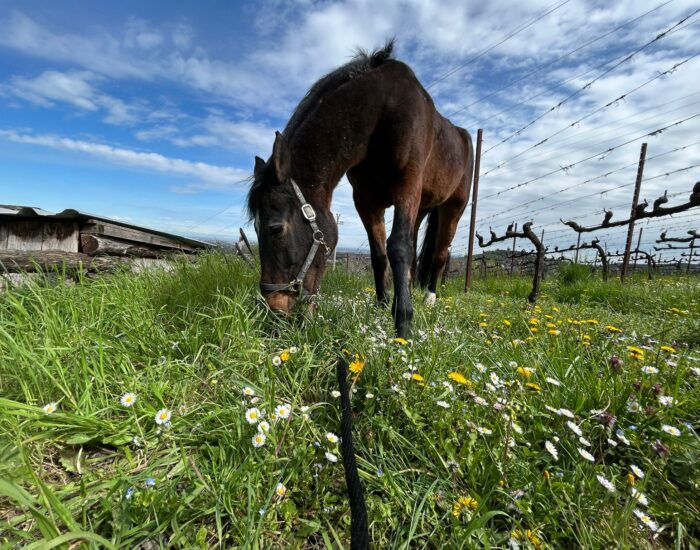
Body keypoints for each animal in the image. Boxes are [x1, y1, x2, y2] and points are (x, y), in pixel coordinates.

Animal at [247, 40, 474, 339]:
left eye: (275, 229)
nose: (275, 312)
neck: (383, 108)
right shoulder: (366, 200)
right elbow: (379, 255)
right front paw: (383, 307)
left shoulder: (407, 184)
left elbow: (398, 247)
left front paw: (403, 323)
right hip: (421, 208)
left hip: (453, 207)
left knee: (439, 255)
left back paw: (428, 299)